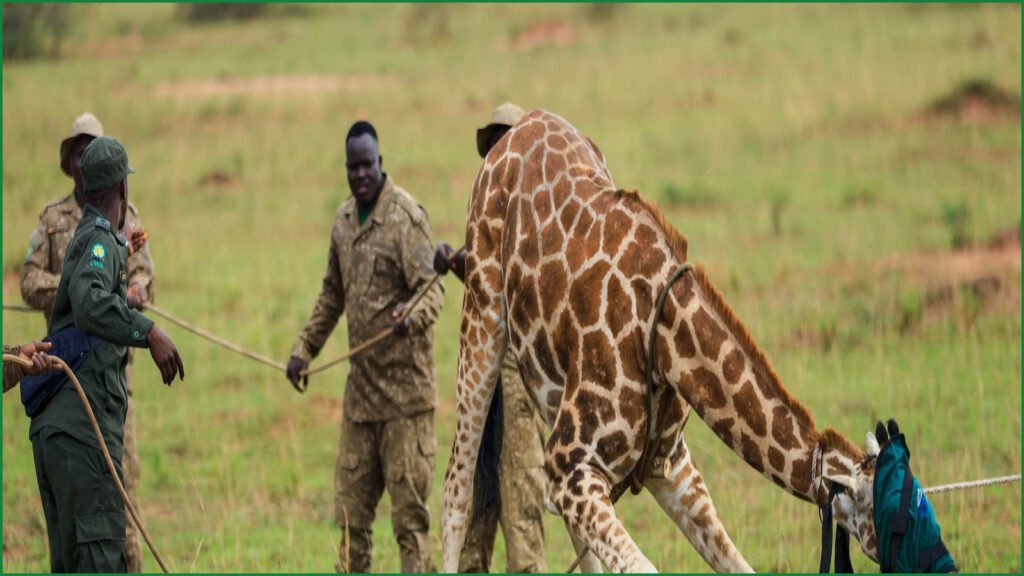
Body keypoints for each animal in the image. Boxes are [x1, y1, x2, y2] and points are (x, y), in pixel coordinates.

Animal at [441, 109, 881, 573]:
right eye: (888, 509)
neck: (667, 339)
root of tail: (520, 124)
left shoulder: (668, 467)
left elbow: (737, 564)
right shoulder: (569, 462)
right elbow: (642, 565)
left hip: (545, 383)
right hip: (483, 311)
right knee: (456, 486)